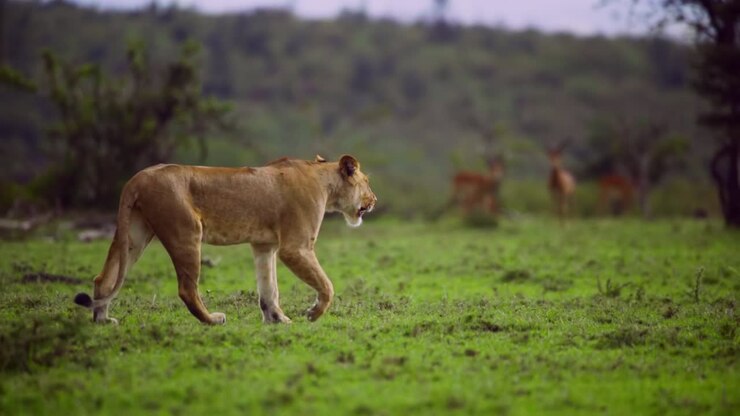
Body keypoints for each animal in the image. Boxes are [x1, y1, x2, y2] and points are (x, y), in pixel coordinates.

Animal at [73, 155, 377, 325]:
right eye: (367, 182)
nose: (374, 200)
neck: (324, 182)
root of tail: (136, 179)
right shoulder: (295, 247)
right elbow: (327, 285)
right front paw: (313, 314)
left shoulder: (264, 246)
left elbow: (269, 288)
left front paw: (277, 319)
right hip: (186, 232)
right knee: (186, 289)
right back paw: (212, 320)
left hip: (134, 236)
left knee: (104, 278)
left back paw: (102, 320)